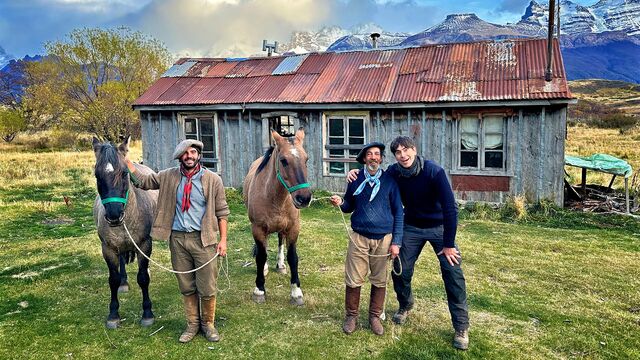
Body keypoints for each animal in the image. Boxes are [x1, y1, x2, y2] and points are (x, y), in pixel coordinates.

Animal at [242, 129, 312, 304]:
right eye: (283, 160)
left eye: (306, 159)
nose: (304, 198)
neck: (273, 197)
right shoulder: (258, 228)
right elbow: (261, 256)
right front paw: (259, 289)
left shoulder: (293, 228)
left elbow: (293, 257)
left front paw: (296, 292)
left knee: (280, 241)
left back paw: (280, 265)